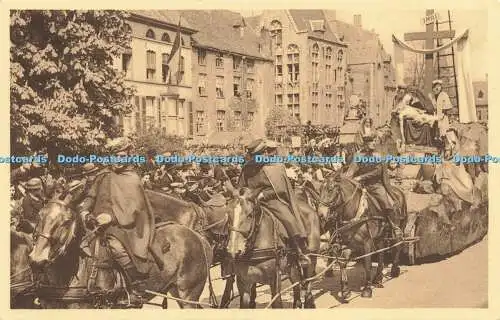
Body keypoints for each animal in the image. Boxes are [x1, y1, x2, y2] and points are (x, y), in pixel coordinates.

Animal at [318, 172, 408, 300]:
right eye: (319, 190)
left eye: (330, 189)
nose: (321, 214)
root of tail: (398, 191)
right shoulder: (346, 242)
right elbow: (342, 262)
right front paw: (345, 290)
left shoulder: (367, 243)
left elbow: (367, 264)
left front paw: (367, 289)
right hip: (380, 237)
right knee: (381, 253)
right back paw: (378, 278)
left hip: (400, 228)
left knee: (397, 246)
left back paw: (394, 270)